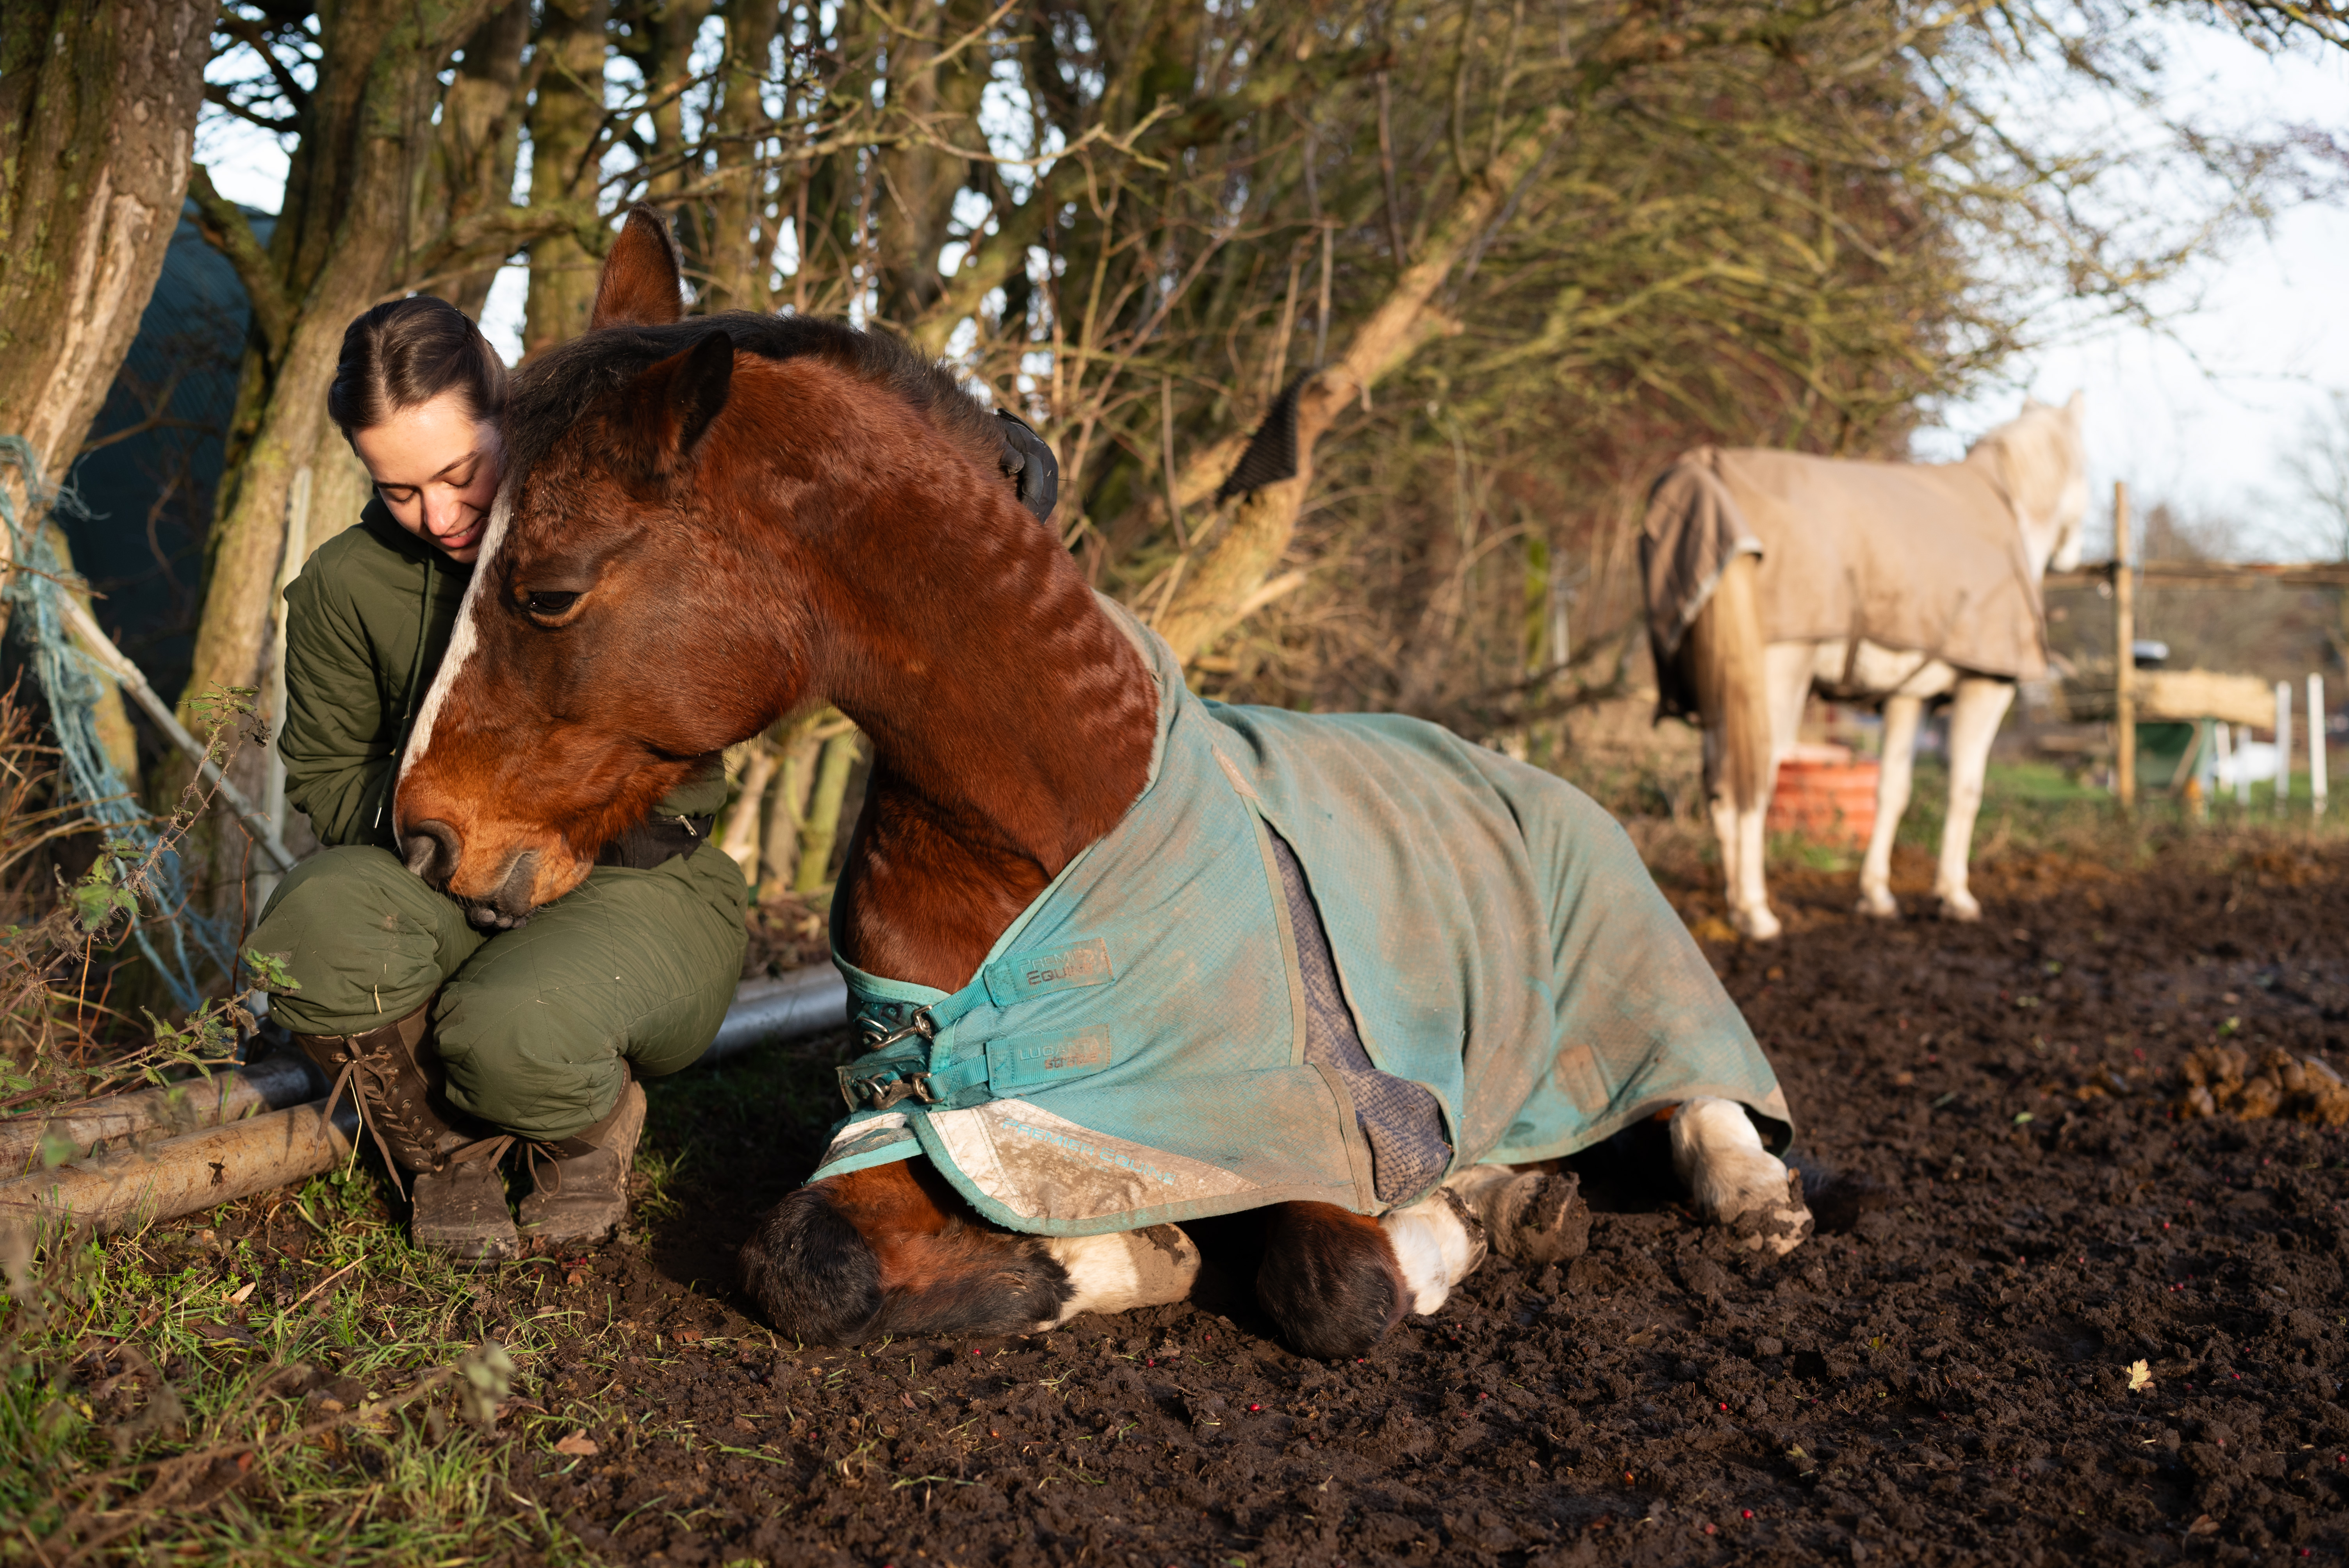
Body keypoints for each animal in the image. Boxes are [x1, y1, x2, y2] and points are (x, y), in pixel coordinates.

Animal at [392, 206, 1814, 1359]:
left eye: (548, 591)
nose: (423, 836)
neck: (1047, 831)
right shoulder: (939, 1123)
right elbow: (811, 1261)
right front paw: (1139, 1253)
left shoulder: (1315, 1135)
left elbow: (1332, 1282)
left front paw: (1455, 1222)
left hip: (1635, 969)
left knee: (1699, 1089)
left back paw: (1739, 1195)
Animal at [1641, 402, 2090, 942]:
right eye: (2084, 467)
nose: (2073, 553)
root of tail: (1706, 469)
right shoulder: (1986, 689)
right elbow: (1965, 791)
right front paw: (1954, 895)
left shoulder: (1908, 698)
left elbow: (1892, 791)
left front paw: (1876, 894)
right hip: (1771, 686)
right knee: (1744, 786)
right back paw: (1755, 911)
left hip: (1721, 694)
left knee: (1716, 787)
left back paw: (1733, 902)